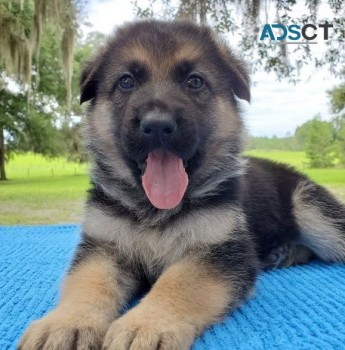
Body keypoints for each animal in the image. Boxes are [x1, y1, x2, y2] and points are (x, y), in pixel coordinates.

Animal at [19, 19, 344, 350]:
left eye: (194, 82)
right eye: (126, 82)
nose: (157, 125)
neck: (153, 210)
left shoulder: (217, 254)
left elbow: (179, 283)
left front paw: (145, 325)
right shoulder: (103, 248)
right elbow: (88, 283)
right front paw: (66, 323)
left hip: (311, 209)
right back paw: (285, 253)